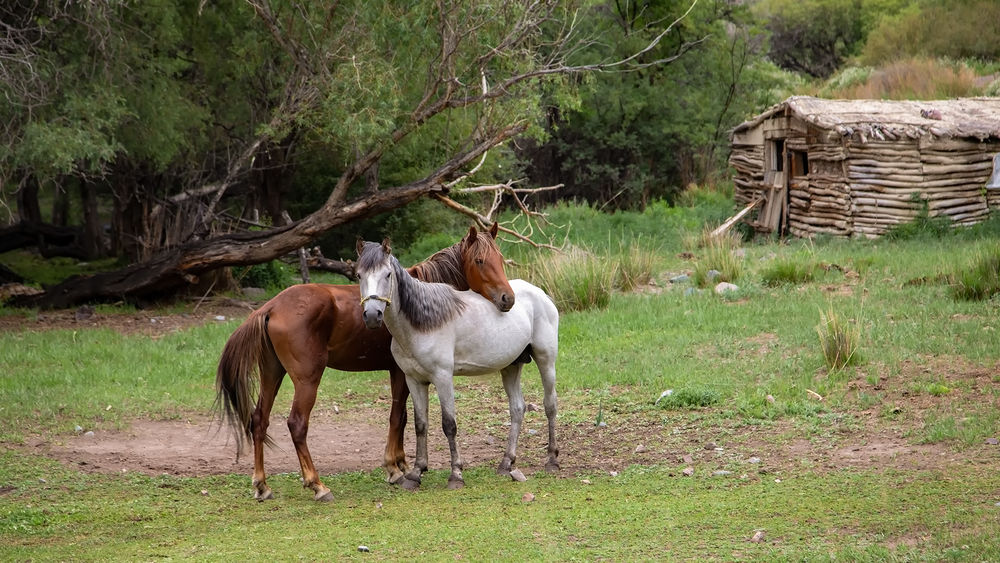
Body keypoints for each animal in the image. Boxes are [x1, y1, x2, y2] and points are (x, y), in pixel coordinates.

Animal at [219, 223, 516, 500]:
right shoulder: (400, 373)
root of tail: (270, 307)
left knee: (259, 420)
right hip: (306, 380)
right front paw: (395, 468)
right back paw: (317, 485)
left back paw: (262, 485)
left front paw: (401, 463)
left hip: (272, 372)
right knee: (297, 424)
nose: (508, 298)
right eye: (480, 261)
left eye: (500, 258)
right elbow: (397, 417)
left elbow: (403, 418)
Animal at [356, 238, 560, 490]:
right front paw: (415, 473)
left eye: (387, 275)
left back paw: (552, 460)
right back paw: (506, 463)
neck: (422, 324)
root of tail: (540, 294)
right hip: (511, 367)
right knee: (517, 409)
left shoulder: (443, 378)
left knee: (550, 405)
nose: (372, 315)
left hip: (546, 360)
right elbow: (420, 424)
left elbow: (449, 425)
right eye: (358, 275)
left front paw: (456, 475)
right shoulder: (414, 380)